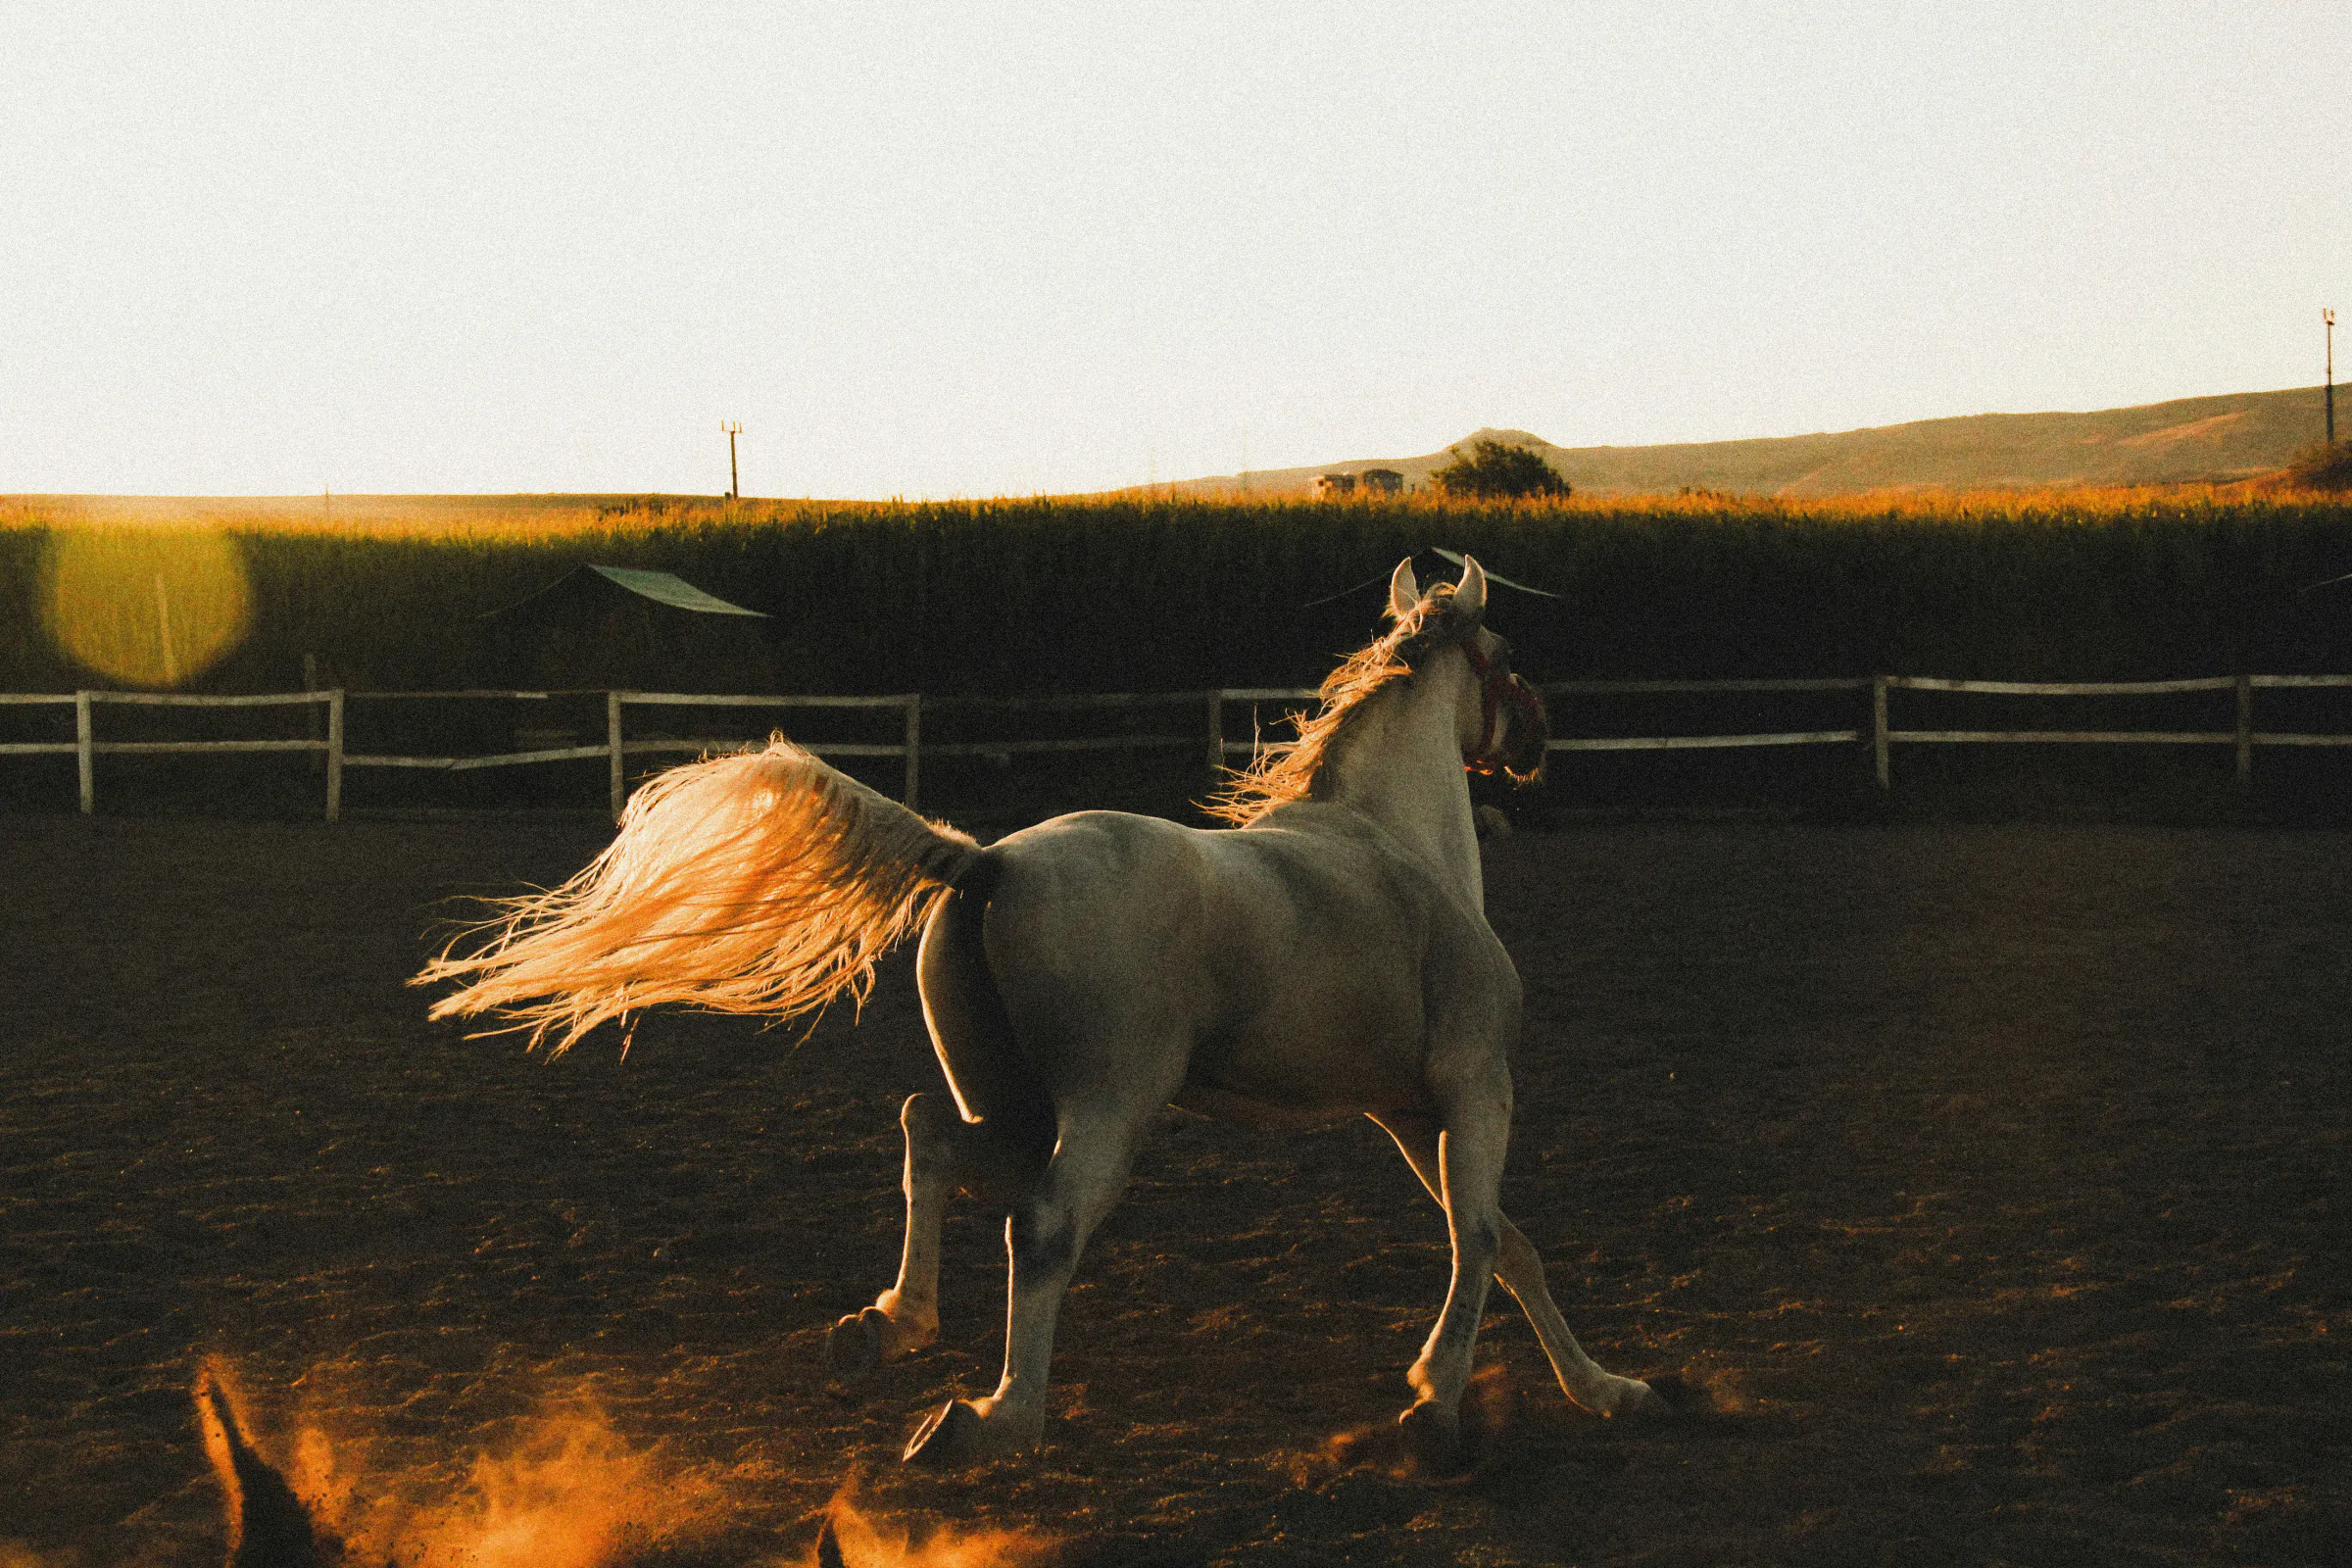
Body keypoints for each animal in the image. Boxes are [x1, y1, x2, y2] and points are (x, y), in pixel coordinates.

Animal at [417, 555, 1660, 1469]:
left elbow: (1511, 1245)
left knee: (931, 1140)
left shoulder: (1404, 1112)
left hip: (1013, 1101)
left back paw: (888, 1326)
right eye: (1507, 656)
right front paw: (1434, 1404)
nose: (1538, 745)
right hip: (1109, 1107)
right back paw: (990, 1418)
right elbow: (1485, 1236)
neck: (1399, 848)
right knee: (1045, 1224)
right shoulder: (1472, 1087)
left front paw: (1606, 1389)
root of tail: (991, 864)